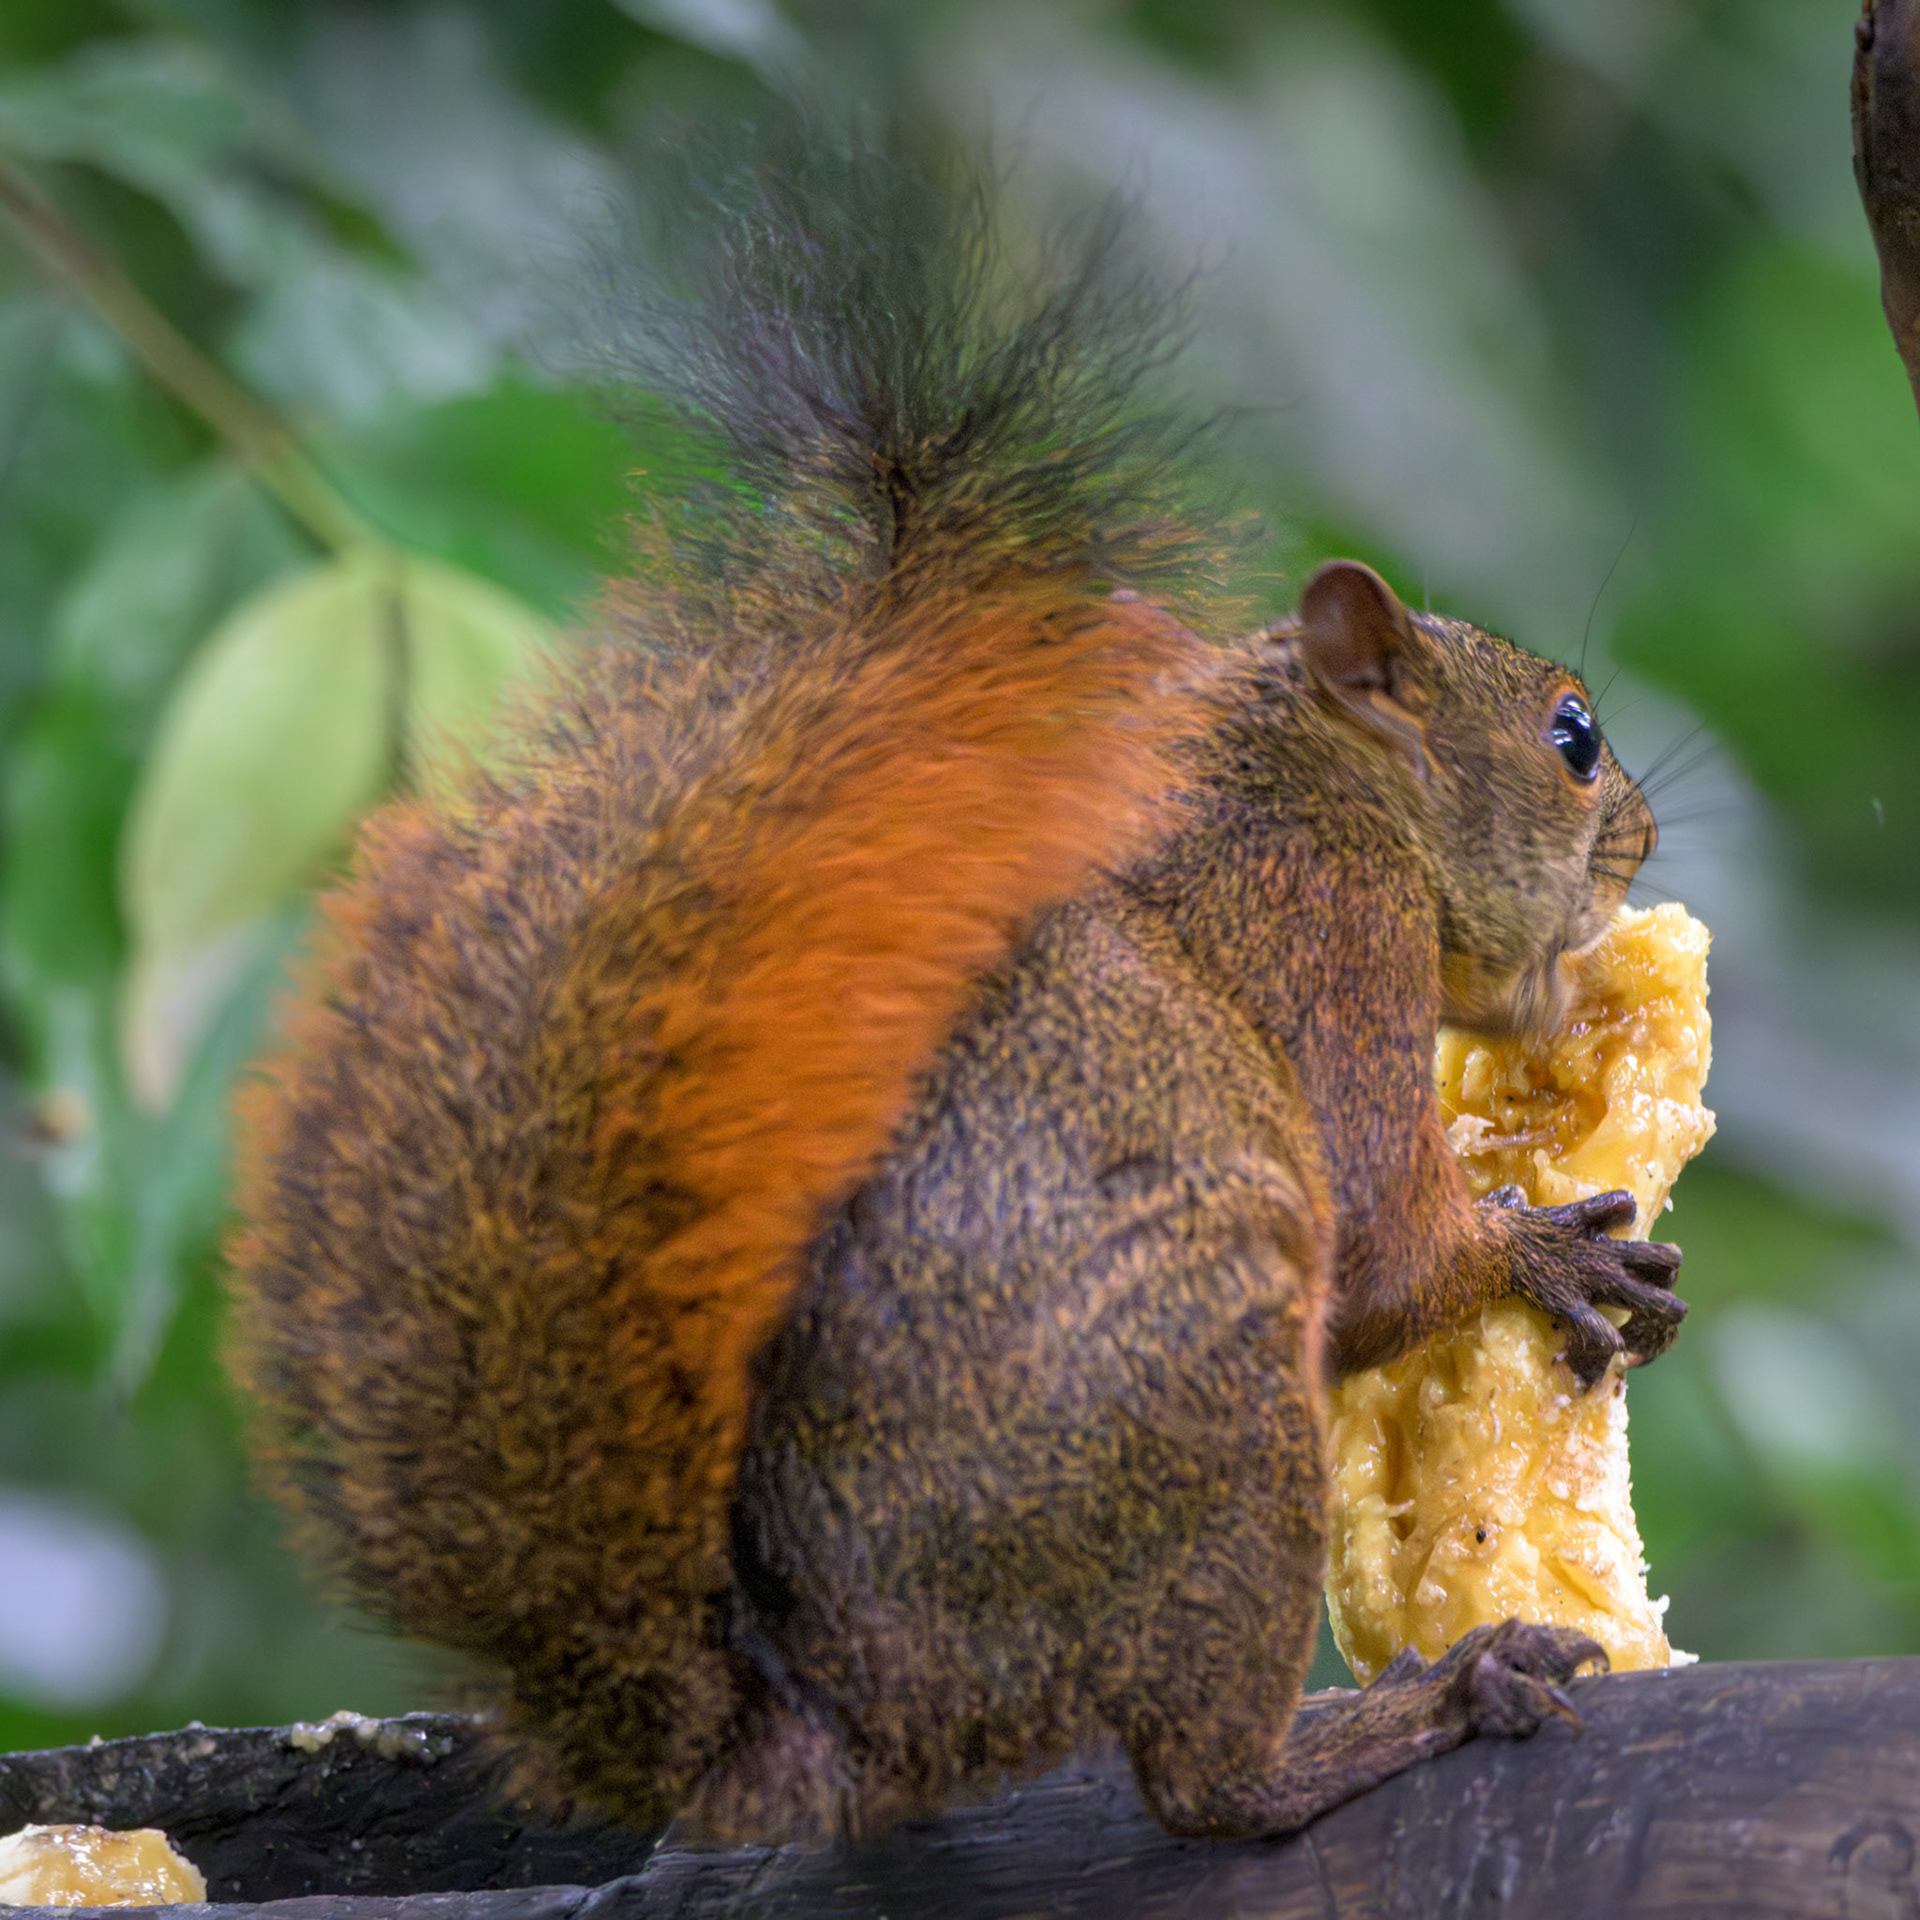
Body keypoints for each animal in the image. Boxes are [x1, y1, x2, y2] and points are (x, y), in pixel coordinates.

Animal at [224, 143, 1685, 1847]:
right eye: (1572, 737)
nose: (1645, 835)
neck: (1295, 779)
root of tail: (858, 1727)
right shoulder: (1330, 929)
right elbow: (1388, 1244)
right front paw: (1546, 1252)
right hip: (1200, 1395)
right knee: (1206, 1786)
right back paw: (1421, 1705)